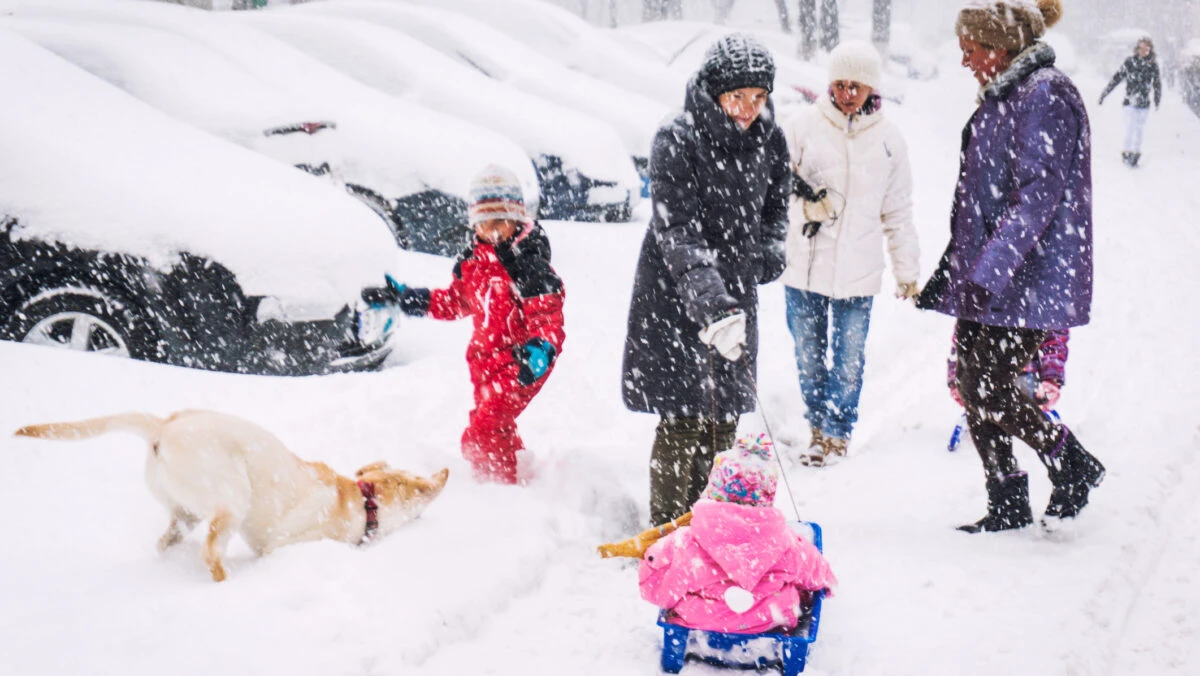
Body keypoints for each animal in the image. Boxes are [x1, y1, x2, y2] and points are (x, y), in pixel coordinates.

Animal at [16, 410, 448, 583]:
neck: (363, 500)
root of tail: (164, 425)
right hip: (231, 502)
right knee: (211, 553)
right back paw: (225, 582)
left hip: (186, 512)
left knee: (166, 541)